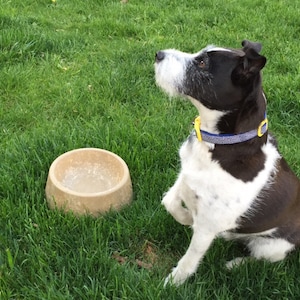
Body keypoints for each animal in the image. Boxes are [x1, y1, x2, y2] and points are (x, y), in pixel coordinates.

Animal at [155, 39, 300, 286]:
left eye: (202, 63)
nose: (158, 54)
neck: (218, 144)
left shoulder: (207, 227)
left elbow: (190, 258)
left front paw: (173, 283)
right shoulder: (185, 175)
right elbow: (169, 201)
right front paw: (186, 217)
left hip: (272, 246)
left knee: (263, 259)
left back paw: (235, 264)